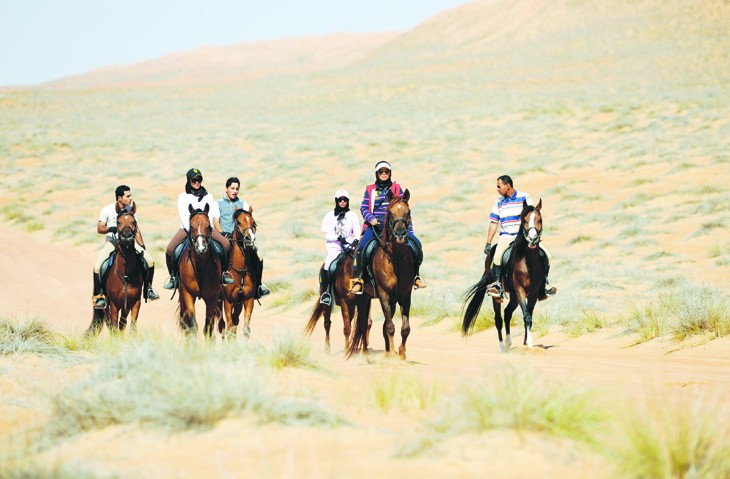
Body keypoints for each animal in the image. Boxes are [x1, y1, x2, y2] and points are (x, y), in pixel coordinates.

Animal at [177, 204, 222, 338]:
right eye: (191, 226)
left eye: (208, 225)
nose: (201, 248)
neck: (200, 266)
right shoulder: (188, 294)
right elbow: (192, 325)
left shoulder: (213, 296)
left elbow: (208, 327)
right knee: (185, 323)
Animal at [219, 206, 259, 339]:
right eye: (238, 222)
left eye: (253, 222)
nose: (250, 238)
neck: (240, 271)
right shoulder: (228, 302)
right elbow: (228, 327)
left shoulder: (248, 299)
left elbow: (245, 329)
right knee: (222, 325)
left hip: (238, 304)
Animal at [347, 189, 415, 360]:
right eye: (389, 212)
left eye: (408, 212)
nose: (400, 234)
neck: (396, 258)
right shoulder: (384, 294)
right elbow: (390, 326)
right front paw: (391, 355)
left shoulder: (405, 295)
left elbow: (404, 328)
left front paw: (400, 353)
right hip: (363, 297)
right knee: (364, 323)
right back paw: (365, 353)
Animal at [461, 199, 547, 352]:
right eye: (524, 220)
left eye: (540, 219)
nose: (532, 239)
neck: (529, 262)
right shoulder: (520, 290)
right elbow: (526, 315)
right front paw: (530, 343)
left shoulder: (533, 292)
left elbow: (529, 315)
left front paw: (526, 342)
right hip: (498, 297)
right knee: (498, 318)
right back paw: (502, 346)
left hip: (513, 295)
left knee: (507, 313)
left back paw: (508, 342)